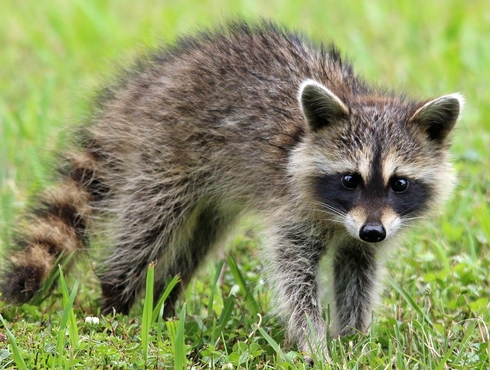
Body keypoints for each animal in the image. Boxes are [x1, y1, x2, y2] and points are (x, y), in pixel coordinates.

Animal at [0, 18, 462, 356]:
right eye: (350, 179)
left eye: (399, 184)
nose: (373, 231)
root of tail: (148, 82)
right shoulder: (292, 206)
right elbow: (293, 274)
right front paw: (314, 341)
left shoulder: (366, 229)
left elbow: (357, 271)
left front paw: (354, 338)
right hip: (166, 150)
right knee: (148, 225)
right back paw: (117, 299)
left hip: (211, 193)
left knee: (197, 241)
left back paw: (164, 300)